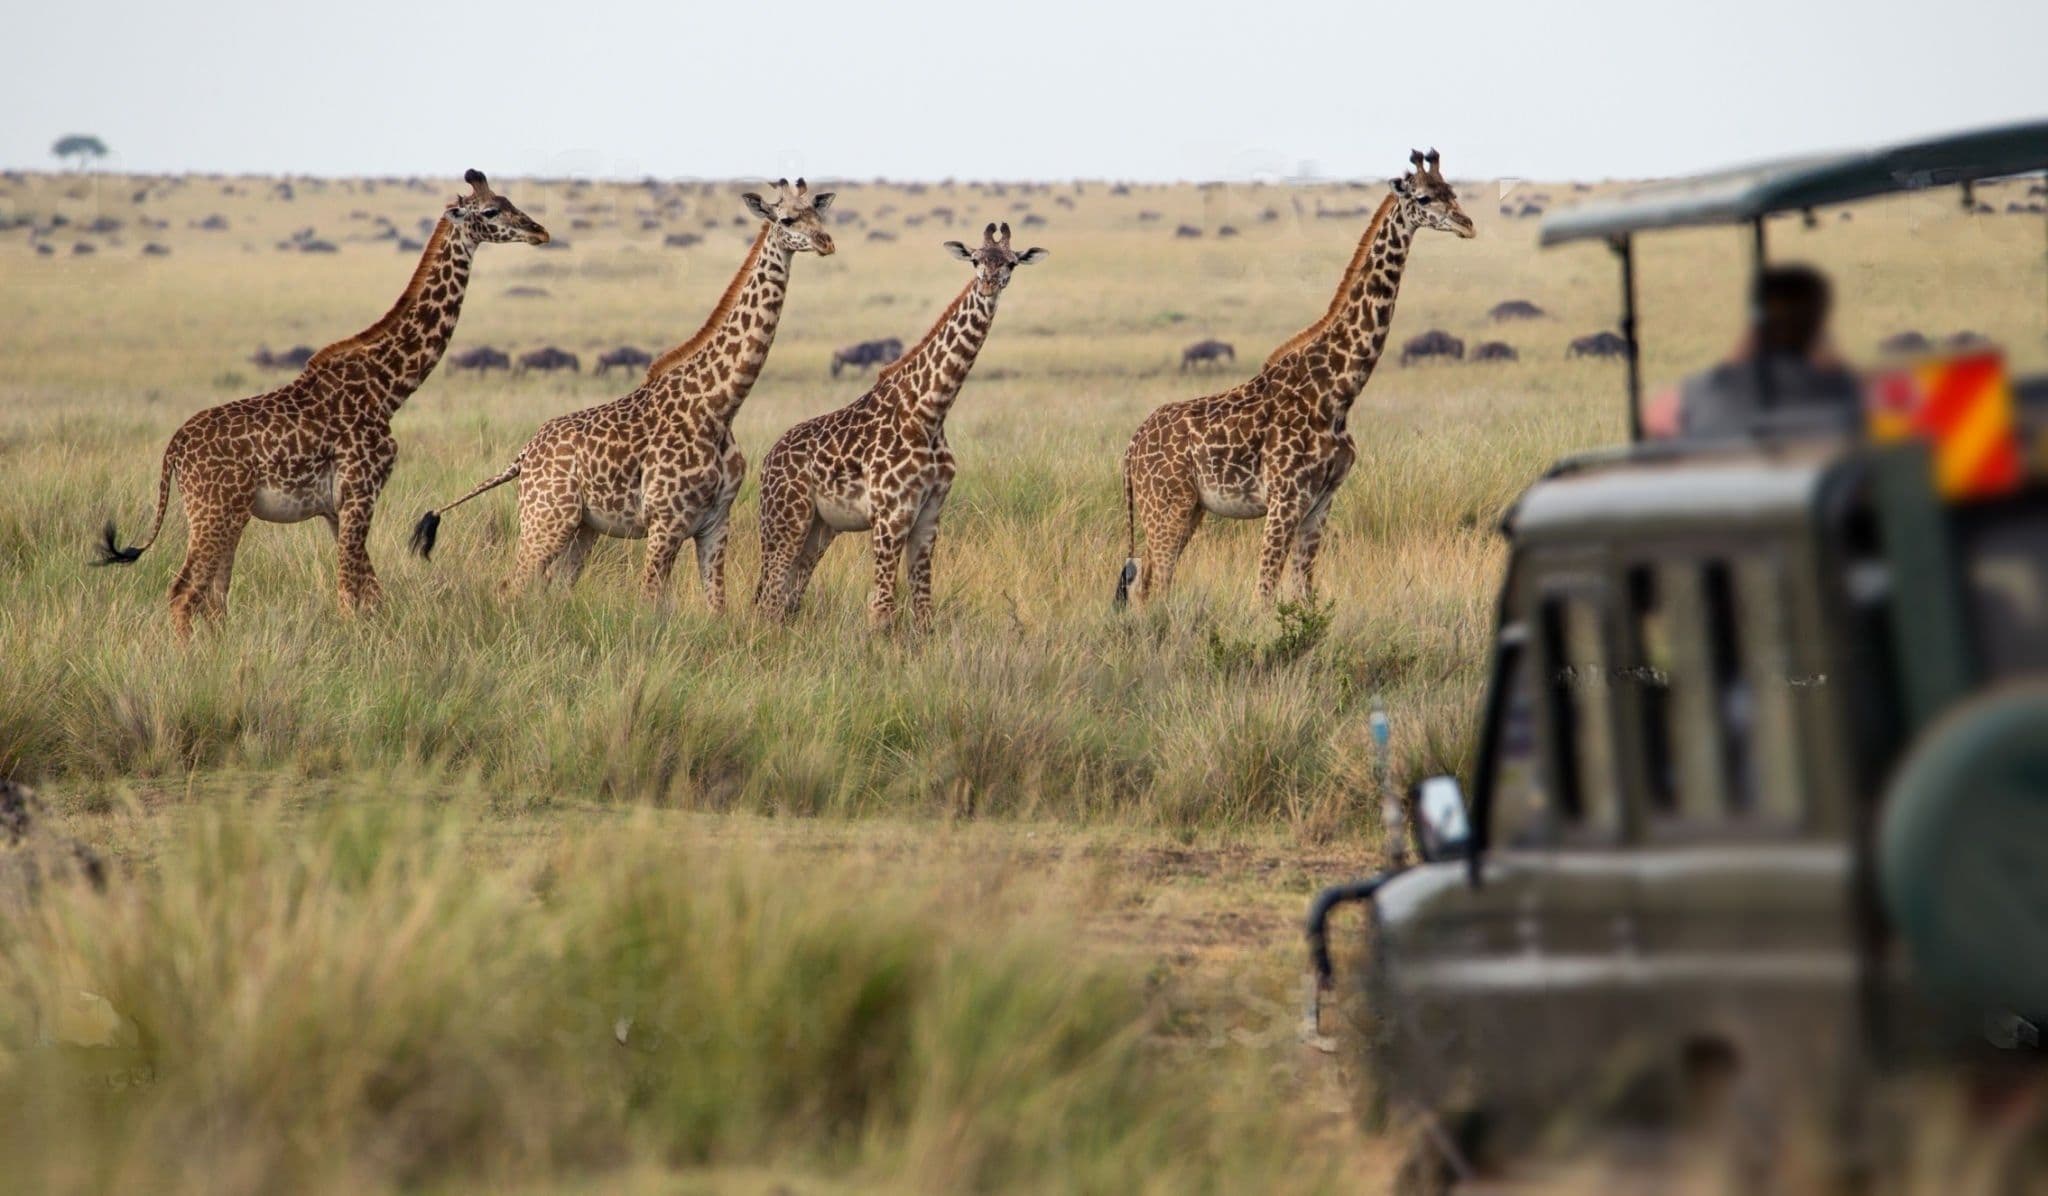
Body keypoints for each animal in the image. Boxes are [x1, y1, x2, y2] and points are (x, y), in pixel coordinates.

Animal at [95, 171, 548, 634]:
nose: (539, 231)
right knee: (185, 592)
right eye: (491, 211)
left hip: (226, 514)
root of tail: (173, 451)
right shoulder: (360, 492)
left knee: (214, 597)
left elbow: (370, 592)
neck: (387, 389)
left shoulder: (337, 508)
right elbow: (351, 592)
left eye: (509, 202)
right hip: (214, 510)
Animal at [407, 177, 831, 606]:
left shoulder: (715, 523)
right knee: (512, 584)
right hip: (545, 518)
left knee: (554, 586)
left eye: (819, 213)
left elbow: (716, 606)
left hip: (582, 527)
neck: (719, 404)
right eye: (786, 218)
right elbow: (651, 601)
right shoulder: (665, 521)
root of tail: (523, 456)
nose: (826, 242)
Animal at [753, 221, 1048, 630]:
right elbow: (881, 611)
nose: (989, 283)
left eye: (1011, 262)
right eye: (976, 259)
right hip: (785, 519)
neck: (931, 410)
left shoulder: (929, 514)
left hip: (820, 526)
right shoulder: (891, 514)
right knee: (768, 599)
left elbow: (923, 608)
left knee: (787, 597)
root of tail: (768, 461)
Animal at [1122, 149, 1474, 606]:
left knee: (1146, 581)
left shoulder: (1321, 501)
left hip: (1186, 508)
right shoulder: (1285, 499)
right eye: (1423, 197)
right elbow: (1264, 594)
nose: (1467, 224)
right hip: (1167, 504)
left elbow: (1304, 591)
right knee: (1155, 585)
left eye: (1452, 190)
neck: (1337, 392)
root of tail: (1130, 450)